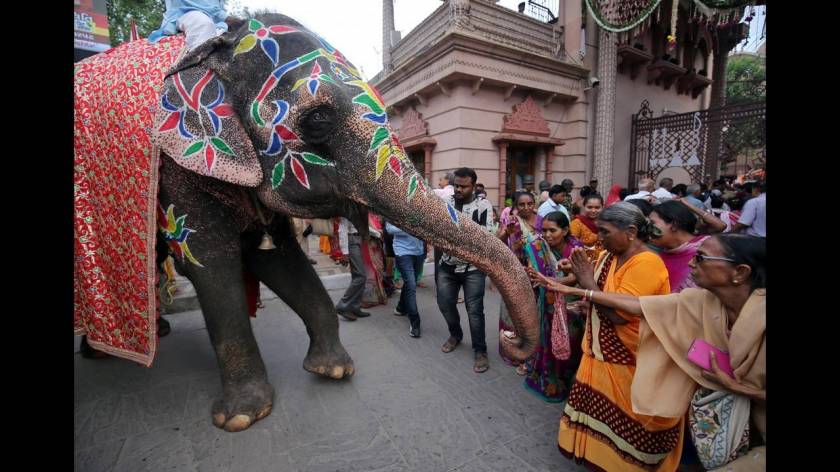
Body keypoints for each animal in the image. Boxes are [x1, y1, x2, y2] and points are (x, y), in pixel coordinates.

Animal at [77, 12, 540, 432]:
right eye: (318, 120)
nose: (511, 341)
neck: (215, 53)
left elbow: (277, 256)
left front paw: (333, 370)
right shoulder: (177, 164)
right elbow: (211, 262)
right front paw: (242, 417)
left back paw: (123, 342)